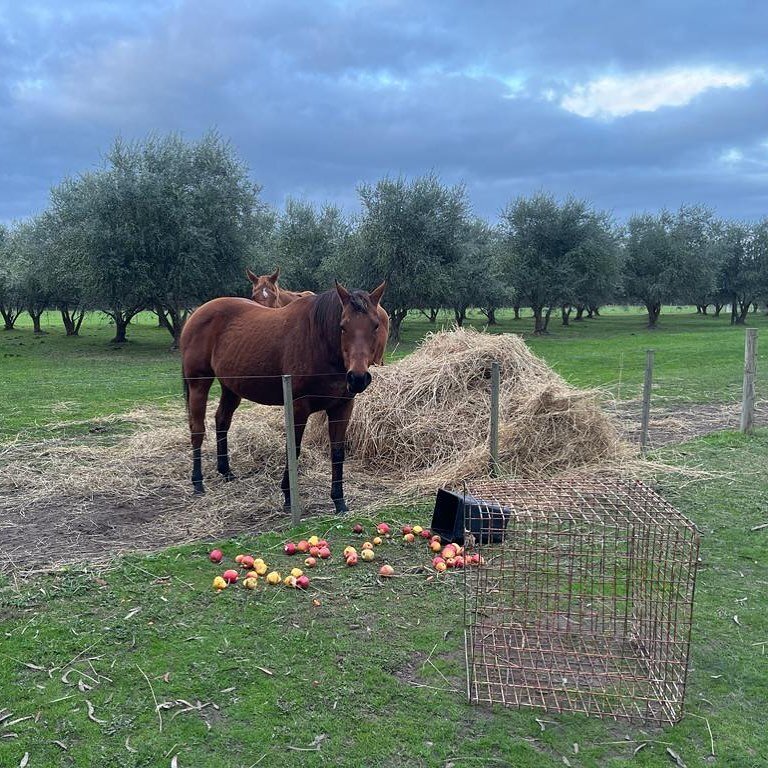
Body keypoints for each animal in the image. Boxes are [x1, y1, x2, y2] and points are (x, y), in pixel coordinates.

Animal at [178, 280, 388, 512]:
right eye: (343, 326)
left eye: (375, 325)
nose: (358, 378)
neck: (319, 342)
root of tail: (197, 313)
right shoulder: (298, 407)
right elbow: (294, 449)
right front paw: (288, 497)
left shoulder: (342, 407)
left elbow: (337, 452)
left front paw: (339, 501)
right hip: (199, 383)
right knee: (197, 429)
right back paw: (197, 482)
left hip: (231, 387)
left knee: (222, 420)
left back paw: (226, 472)